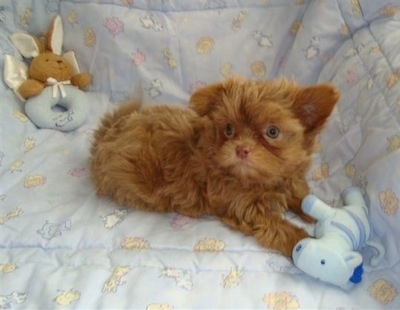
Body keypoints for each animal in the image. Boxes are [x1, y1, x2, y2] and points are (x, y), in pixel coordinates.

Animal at [91, 77, 340, 256]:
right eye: (228, 130)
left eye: (272, 132)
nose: (241, 149)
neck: (262, 180)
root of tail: (108, 134)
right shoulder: (247, 209)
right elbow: (281, 228)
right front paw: (307, 243)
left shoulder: (288, 181)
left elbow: (302, 198)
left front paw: (324, 214)